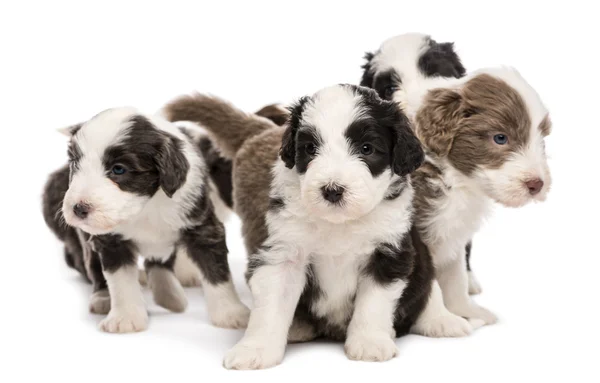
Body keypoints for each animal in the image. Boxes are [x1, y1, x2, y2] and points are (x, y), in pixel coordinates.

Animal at [42, 108, 248, 332]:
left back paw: (170, 295)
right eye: (75, 164)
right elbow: (120, 280)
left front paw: (231, 314)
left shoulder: (202, 225)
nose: (79, 208)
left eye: (119, 169)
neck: (145, 206)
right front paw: (125, 318)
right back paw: (104, 297)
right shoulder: (110, 240)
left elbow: (217, 272)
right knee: (92, 263)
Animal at [166, 85, 476, 370]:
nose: (332, 190)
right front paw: (256, 350)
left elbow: (373, 304)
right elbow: (271, 307)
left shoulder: (390, 253)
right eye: (310, 148)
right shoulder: (284, 253)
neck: (339, 223)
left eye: (366, 149)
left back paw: (442, 321)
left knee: (428, 289)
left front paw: (369, 343)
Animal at [358, 33, 552, 328]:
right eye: (500, 138)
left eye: (540, 139)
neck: (453, 176)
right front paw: (441, 320)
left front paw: (466, 310)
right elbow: (429, 280)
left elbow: (455, 276)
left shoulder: (453, 231)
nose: (536, 184)